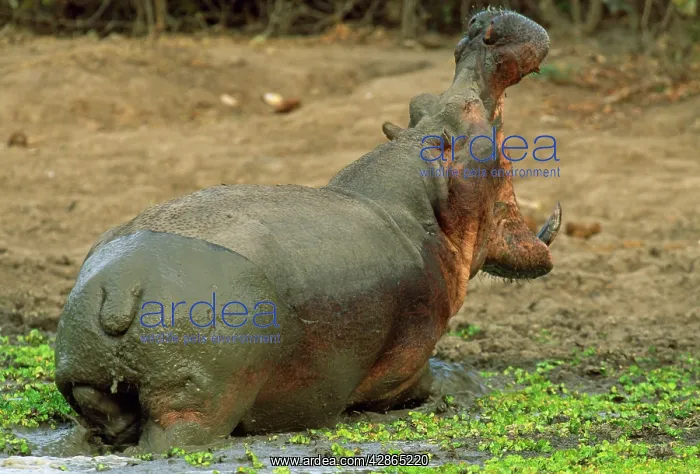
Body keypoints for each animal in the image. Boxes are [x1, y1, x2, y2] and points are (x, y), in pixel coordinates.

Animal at [55, 9, 561, 452]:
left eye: (419, 103)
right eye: (469, 111)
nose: (481, 29)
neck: (421, 206)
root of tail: (122, 285)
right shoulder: (407, 363)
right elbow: (432, 379)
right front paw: (469, 383)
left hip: (87, 386)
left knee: (93, 424)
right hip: (194, 403)